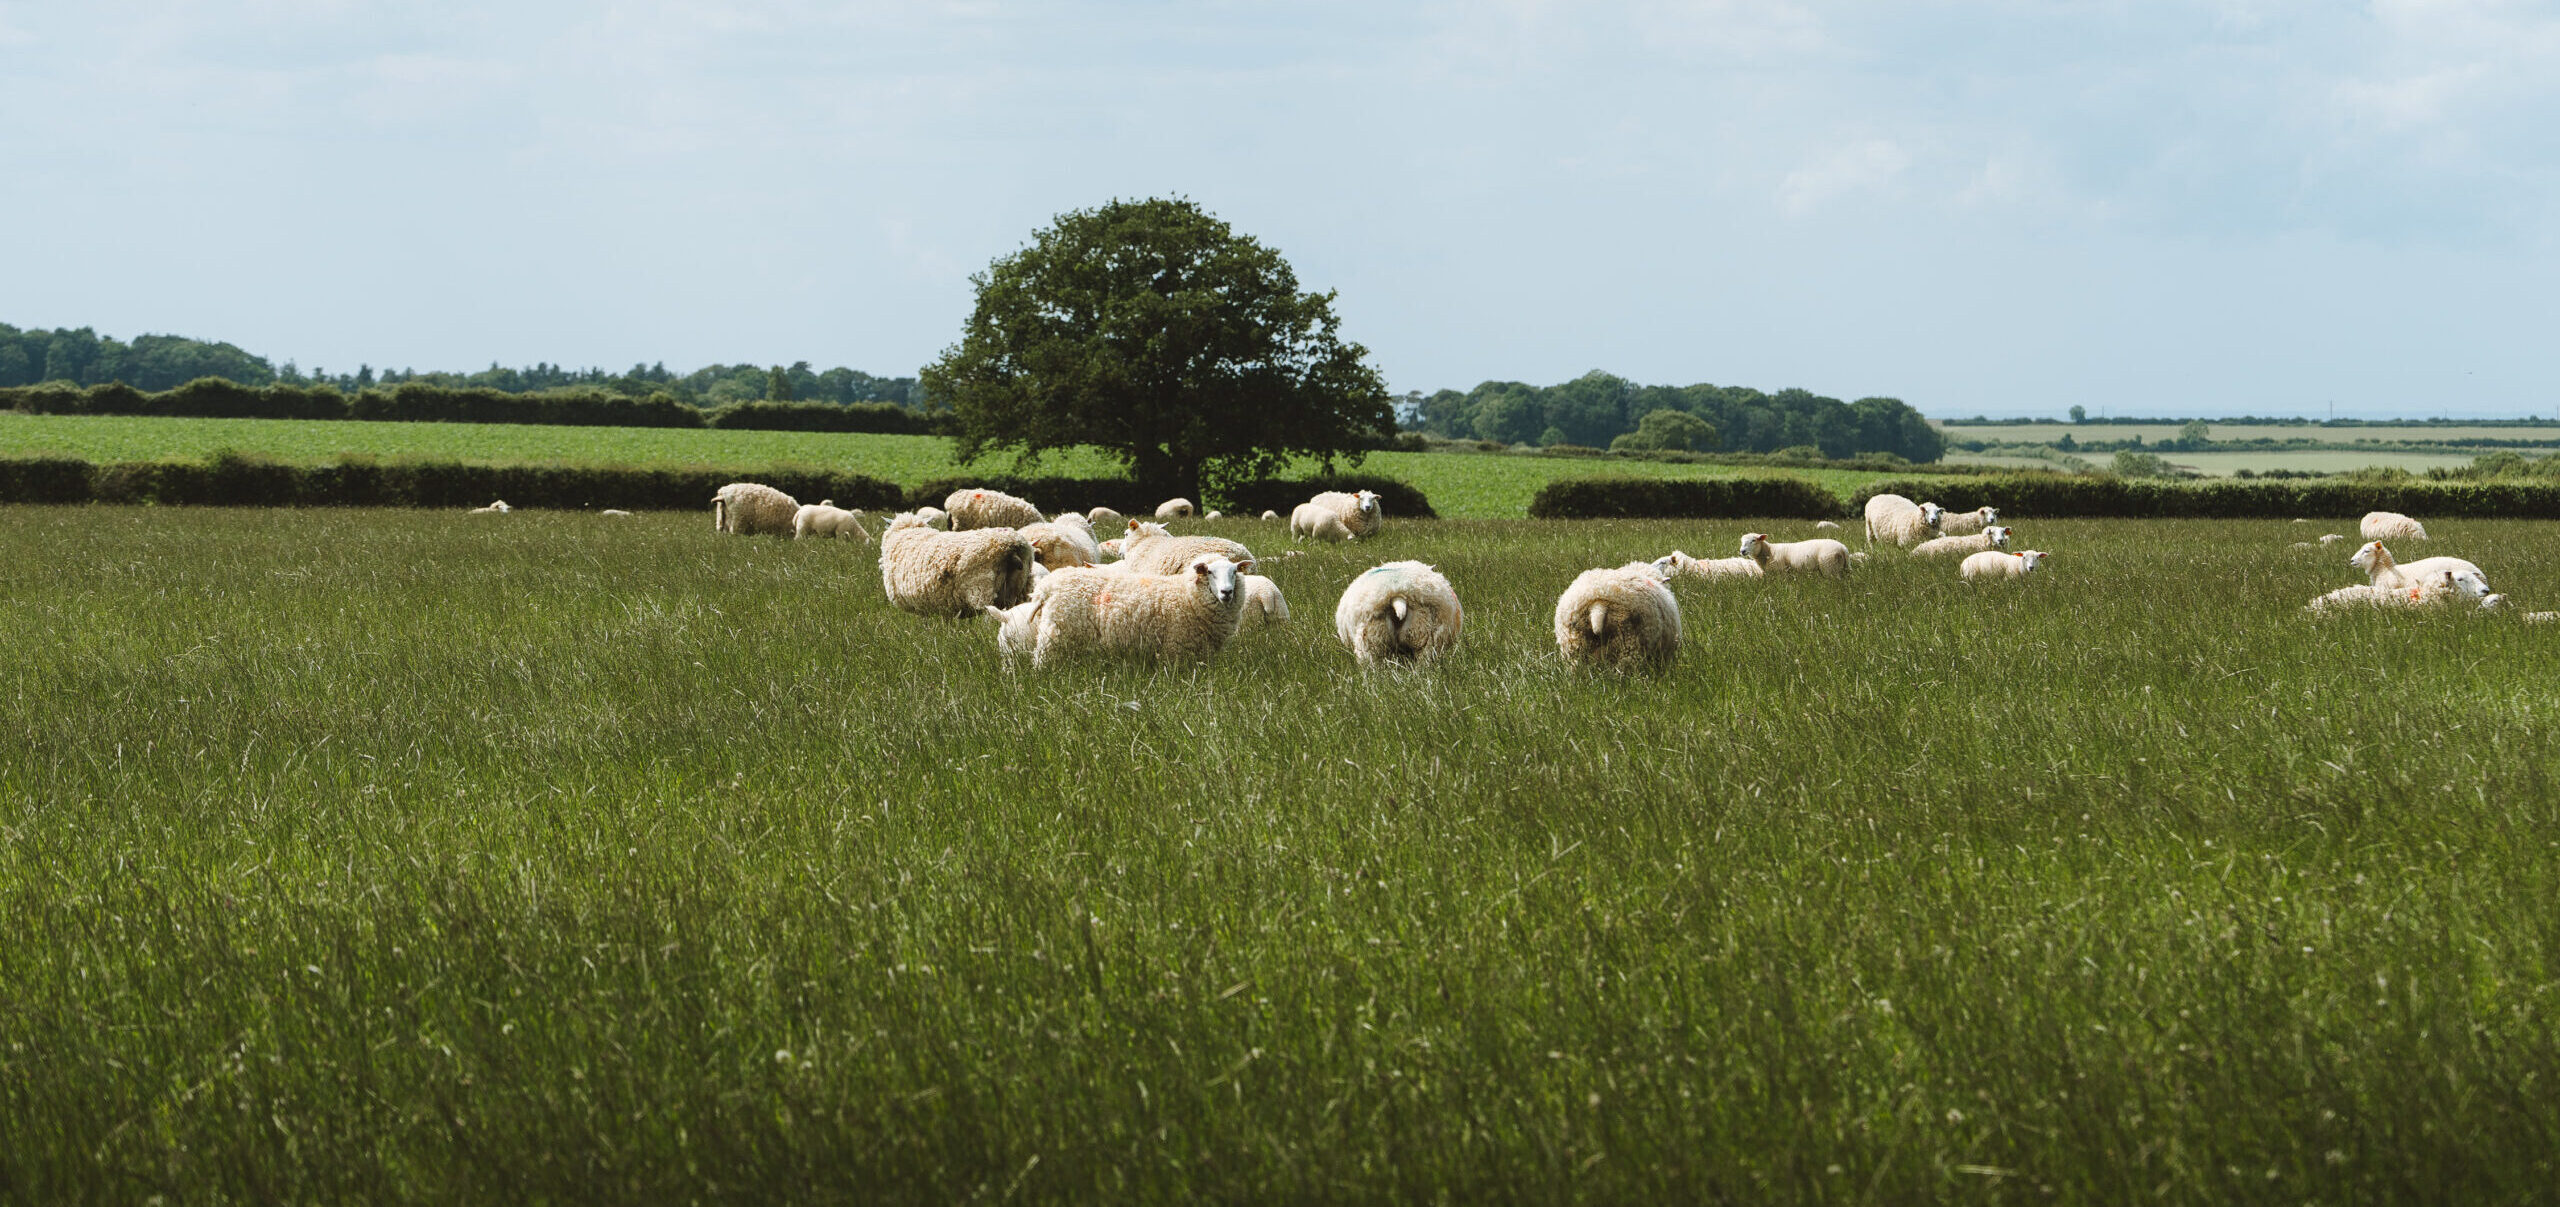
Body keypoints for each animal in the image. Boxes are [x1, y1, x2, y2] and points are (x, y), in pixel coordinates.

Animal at [1007, 555, 1248, 666]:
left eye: (1234, 572)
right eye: (1209, 572)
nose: (1227, 592)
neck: (1187, 595)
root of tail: (1046, 587)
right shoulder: (1176, 648)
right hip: (1057, 636)